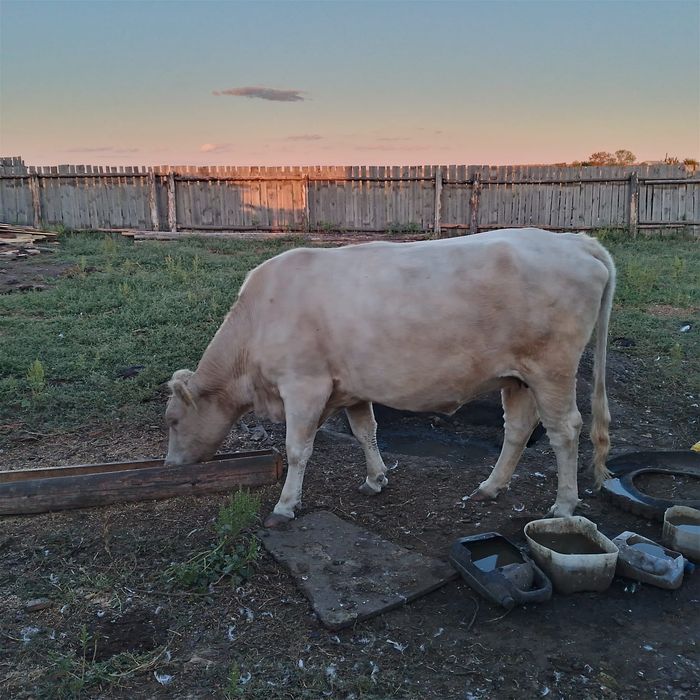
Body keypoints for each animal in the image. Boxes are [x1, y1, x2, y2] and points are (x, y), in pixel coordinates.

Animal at [164, 227, 616, 527]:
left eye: (172, 420)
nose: (170, 466)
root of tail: (576, 241)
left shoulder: (304, 384)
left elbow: (297, 449)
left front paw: (285, 505)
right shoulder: (349, 387)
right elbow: (366, 430)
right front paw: (375, 478)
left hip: (552, 369)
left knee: (565, 430)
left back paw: (564, 506)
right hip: (518, 376)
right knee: (519, 429)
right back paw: (489, 487)